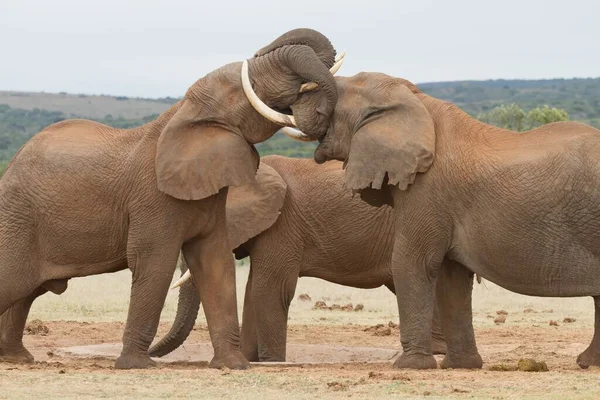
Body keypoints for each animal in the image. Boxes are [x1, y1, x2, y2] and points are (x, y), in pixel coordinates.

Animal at [0, 28, 344, 372]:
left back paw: (18, 358)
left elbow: (215, 261)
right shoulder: (152, 196)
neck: (184, 112)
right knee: (16, 282)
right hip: (19, 217)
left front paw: (233, 365)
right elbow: (155, 261)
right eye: (246, 87)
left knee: (28, 291)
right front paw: (137, 365)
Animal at [146, 156, 446, 362]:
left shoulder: (282, 225)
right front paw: (250, 359)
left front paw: (271, 361)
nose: (150, 351)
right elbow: (253, 291)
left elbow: (268, 290)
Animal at [284, 71, 600, 368]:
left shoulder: (426, 190)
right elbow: (452, 276)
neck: (416, 101)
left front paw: (409, 366)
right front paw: (461, 366)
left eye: (334, 97)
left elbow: (411, 262)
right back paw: (588, 362)